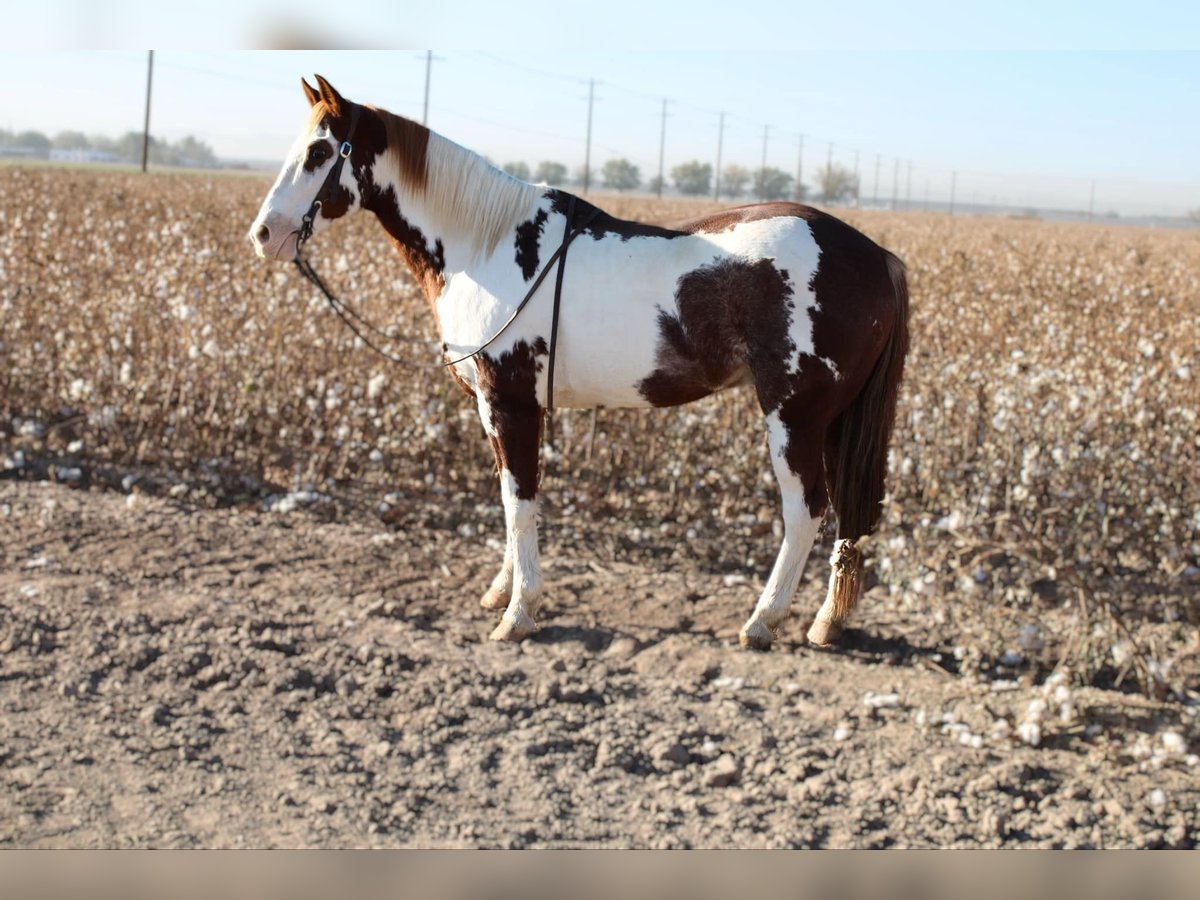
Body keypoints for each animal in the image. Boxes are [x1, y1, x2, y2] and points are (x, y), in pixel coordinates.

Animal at [249, 75, 909, 651]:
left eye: (319, 151)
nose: (263, 234)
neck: (485, 246)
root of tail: (876, 255)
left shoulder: (510, 404)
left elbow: (520, 502)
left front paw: (519, 613)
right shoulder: (497, 409)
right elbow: (511, 497)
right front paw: (502, 592)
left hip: (794, 416)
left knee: (805, 510)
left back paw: (761, 621)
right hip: (831, 421)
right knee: (843, 512)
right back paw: (825, 622)